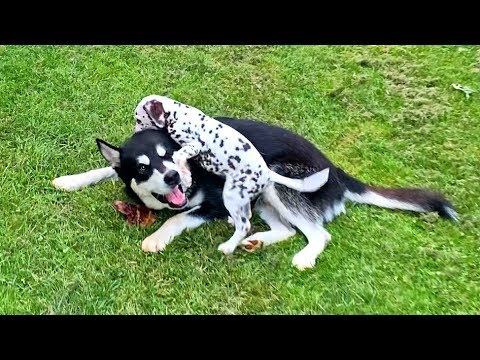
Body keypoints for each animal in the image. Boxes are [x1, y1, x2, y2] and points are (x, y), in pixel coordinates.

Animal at [51, 117, 458, 270]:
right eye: (142, 167)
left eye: (170, 155)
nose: (171, 175)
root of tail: (338, 171)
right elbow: (106, 168)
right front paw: (70, 180)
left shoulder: (215, 204)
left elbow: (180, 217)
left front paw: (156, 238)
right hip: (263, 199)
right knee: (287, 230)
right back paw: (255, 241)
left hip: (277, 183)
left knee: (316, 233)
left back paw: (303, 256)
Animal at [135, 94, 330, 255]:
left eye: (138, 118)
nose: (135, 134)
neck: (179, 113)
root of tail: (267, 173)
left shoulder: (194, 145)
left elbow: (179, 155)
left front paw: (185, 175)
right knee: (246, 216)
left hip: (232, 193)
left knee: (245, 225)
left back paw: (228, 247)